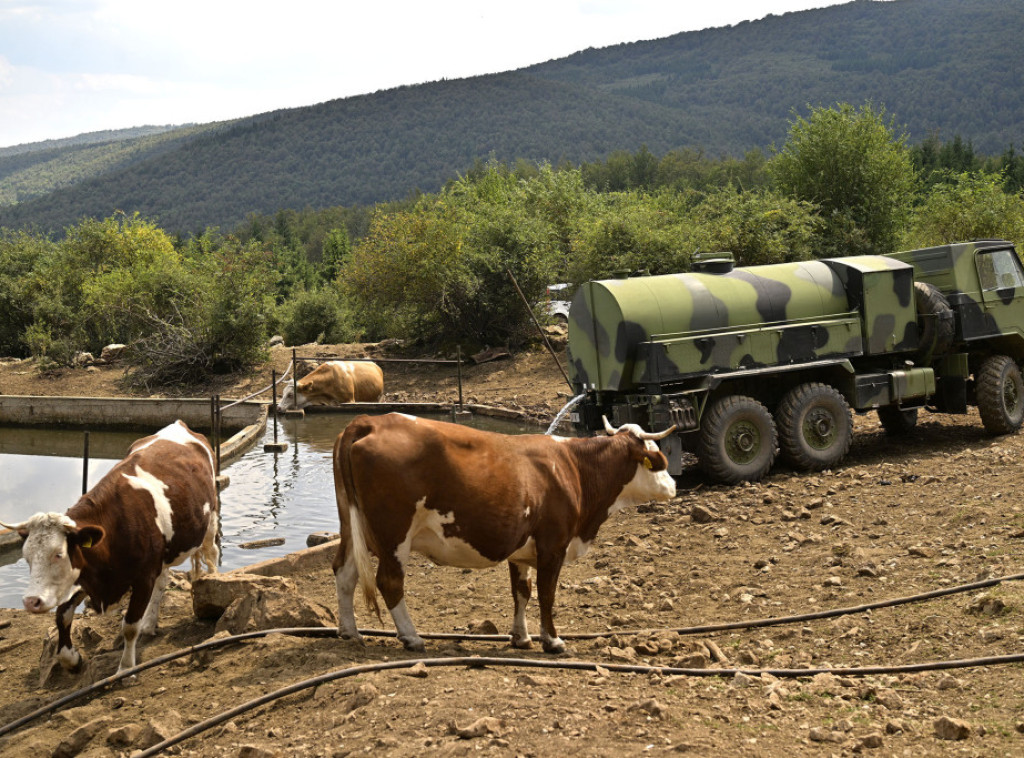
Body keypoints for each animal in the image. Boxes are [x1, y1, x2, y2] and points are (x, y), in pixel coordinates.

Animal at [0, 419, 220, 676]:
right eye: (26, 558)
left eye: (59, 554)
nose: (31, 602)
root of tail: (179, 424)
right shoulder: (84, 575)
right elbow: (62, 617)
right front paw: (72, 660)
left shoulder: (143, 577)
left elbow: (130, 626)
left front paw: (125, 668)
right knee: (163, 579)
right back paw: (150, 623)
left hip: (211, 518)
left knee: (212, 555)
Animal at [331, 411, 675, 655]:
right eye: (658, 459)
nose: (674, 486)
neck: (573, 467)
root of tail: (368, 421)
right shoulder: (553, 544)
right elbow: (547, 593)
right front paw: (553, 640)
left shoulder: (522, 549)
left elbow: (521, 591)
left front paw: (521, 637)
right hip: (393, 534)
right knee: (389, 581)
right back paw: (411, 637)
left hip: (353, 525)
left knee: (344, 572)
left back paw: (350, 631)